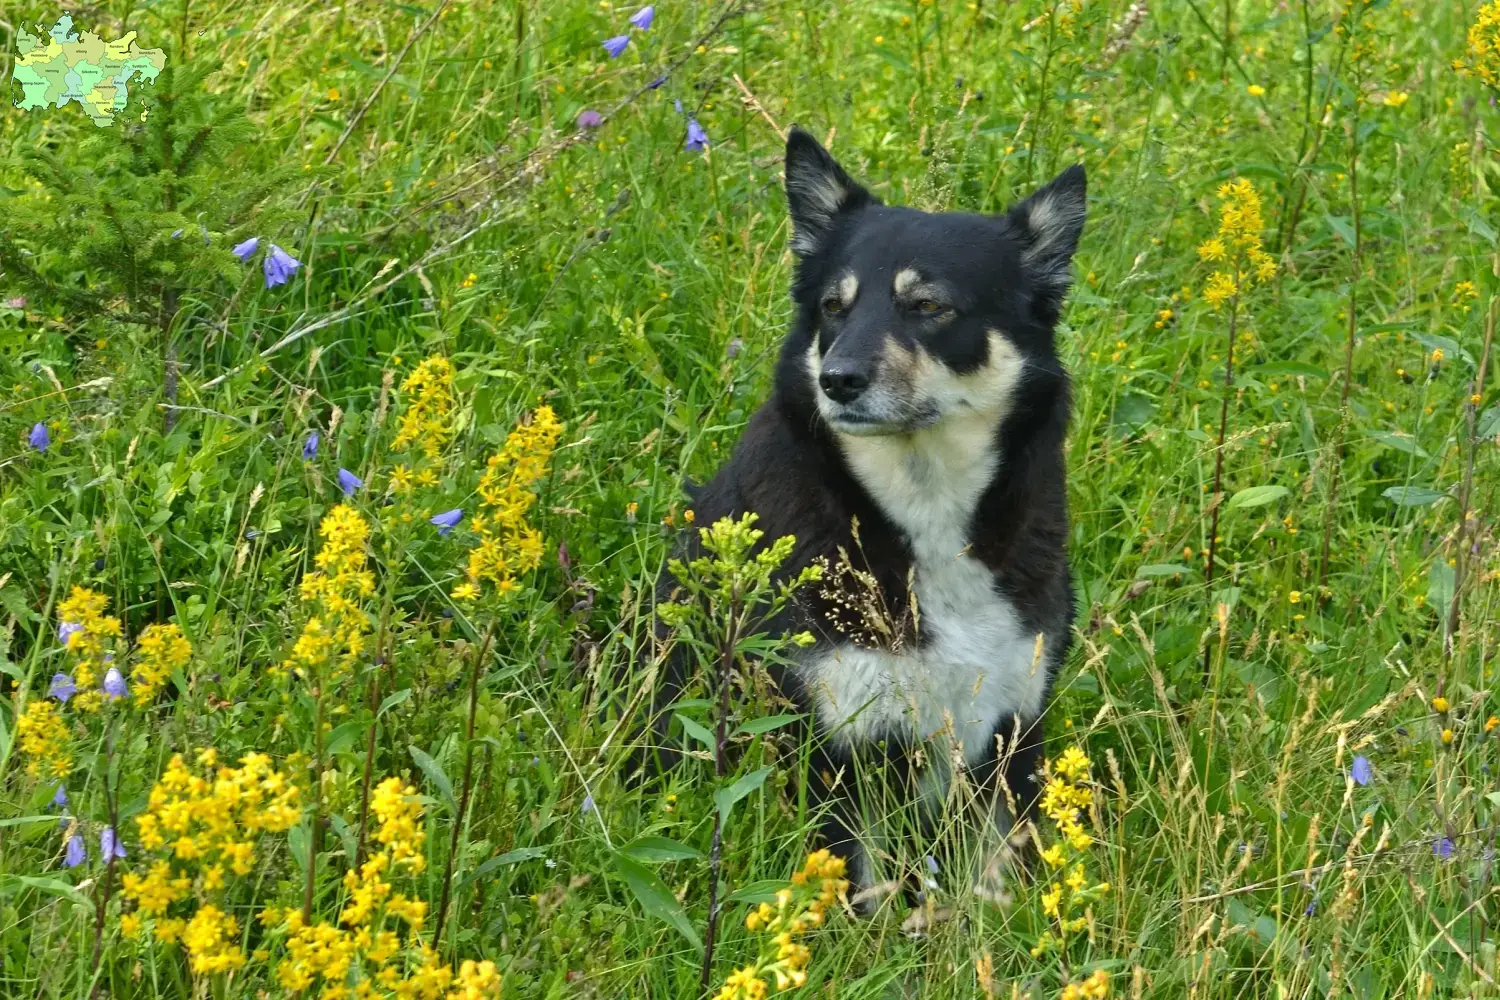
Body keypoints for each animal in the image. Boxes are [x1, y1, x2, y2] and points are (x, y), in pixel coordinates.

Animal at [639, 128, 1086, 911]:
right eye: (833, 307)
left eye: (928, 306)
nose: (837, 380)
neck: (922, 513)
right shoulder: (836, 747)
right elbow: (861, 892)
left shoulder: (1011, 728)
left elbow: (998, 881)